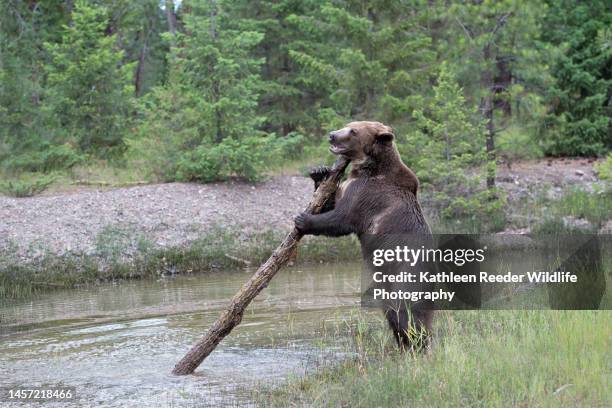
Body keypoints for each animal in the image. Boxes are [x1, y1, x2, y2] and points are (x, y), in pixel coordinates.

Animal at [296, 119, 436, 350]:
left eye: (353, 131)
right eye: (348, 124)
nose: (332, 135)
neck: (366, 168)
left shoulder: (367, 196)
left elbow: (341, 219)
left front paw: (302, 220)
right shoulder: (351, 186)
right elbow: (330, 202)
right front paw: (319, 172)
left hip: (406, 277)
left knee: (407, 316)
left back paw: (417, 345)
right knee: (393, 314)